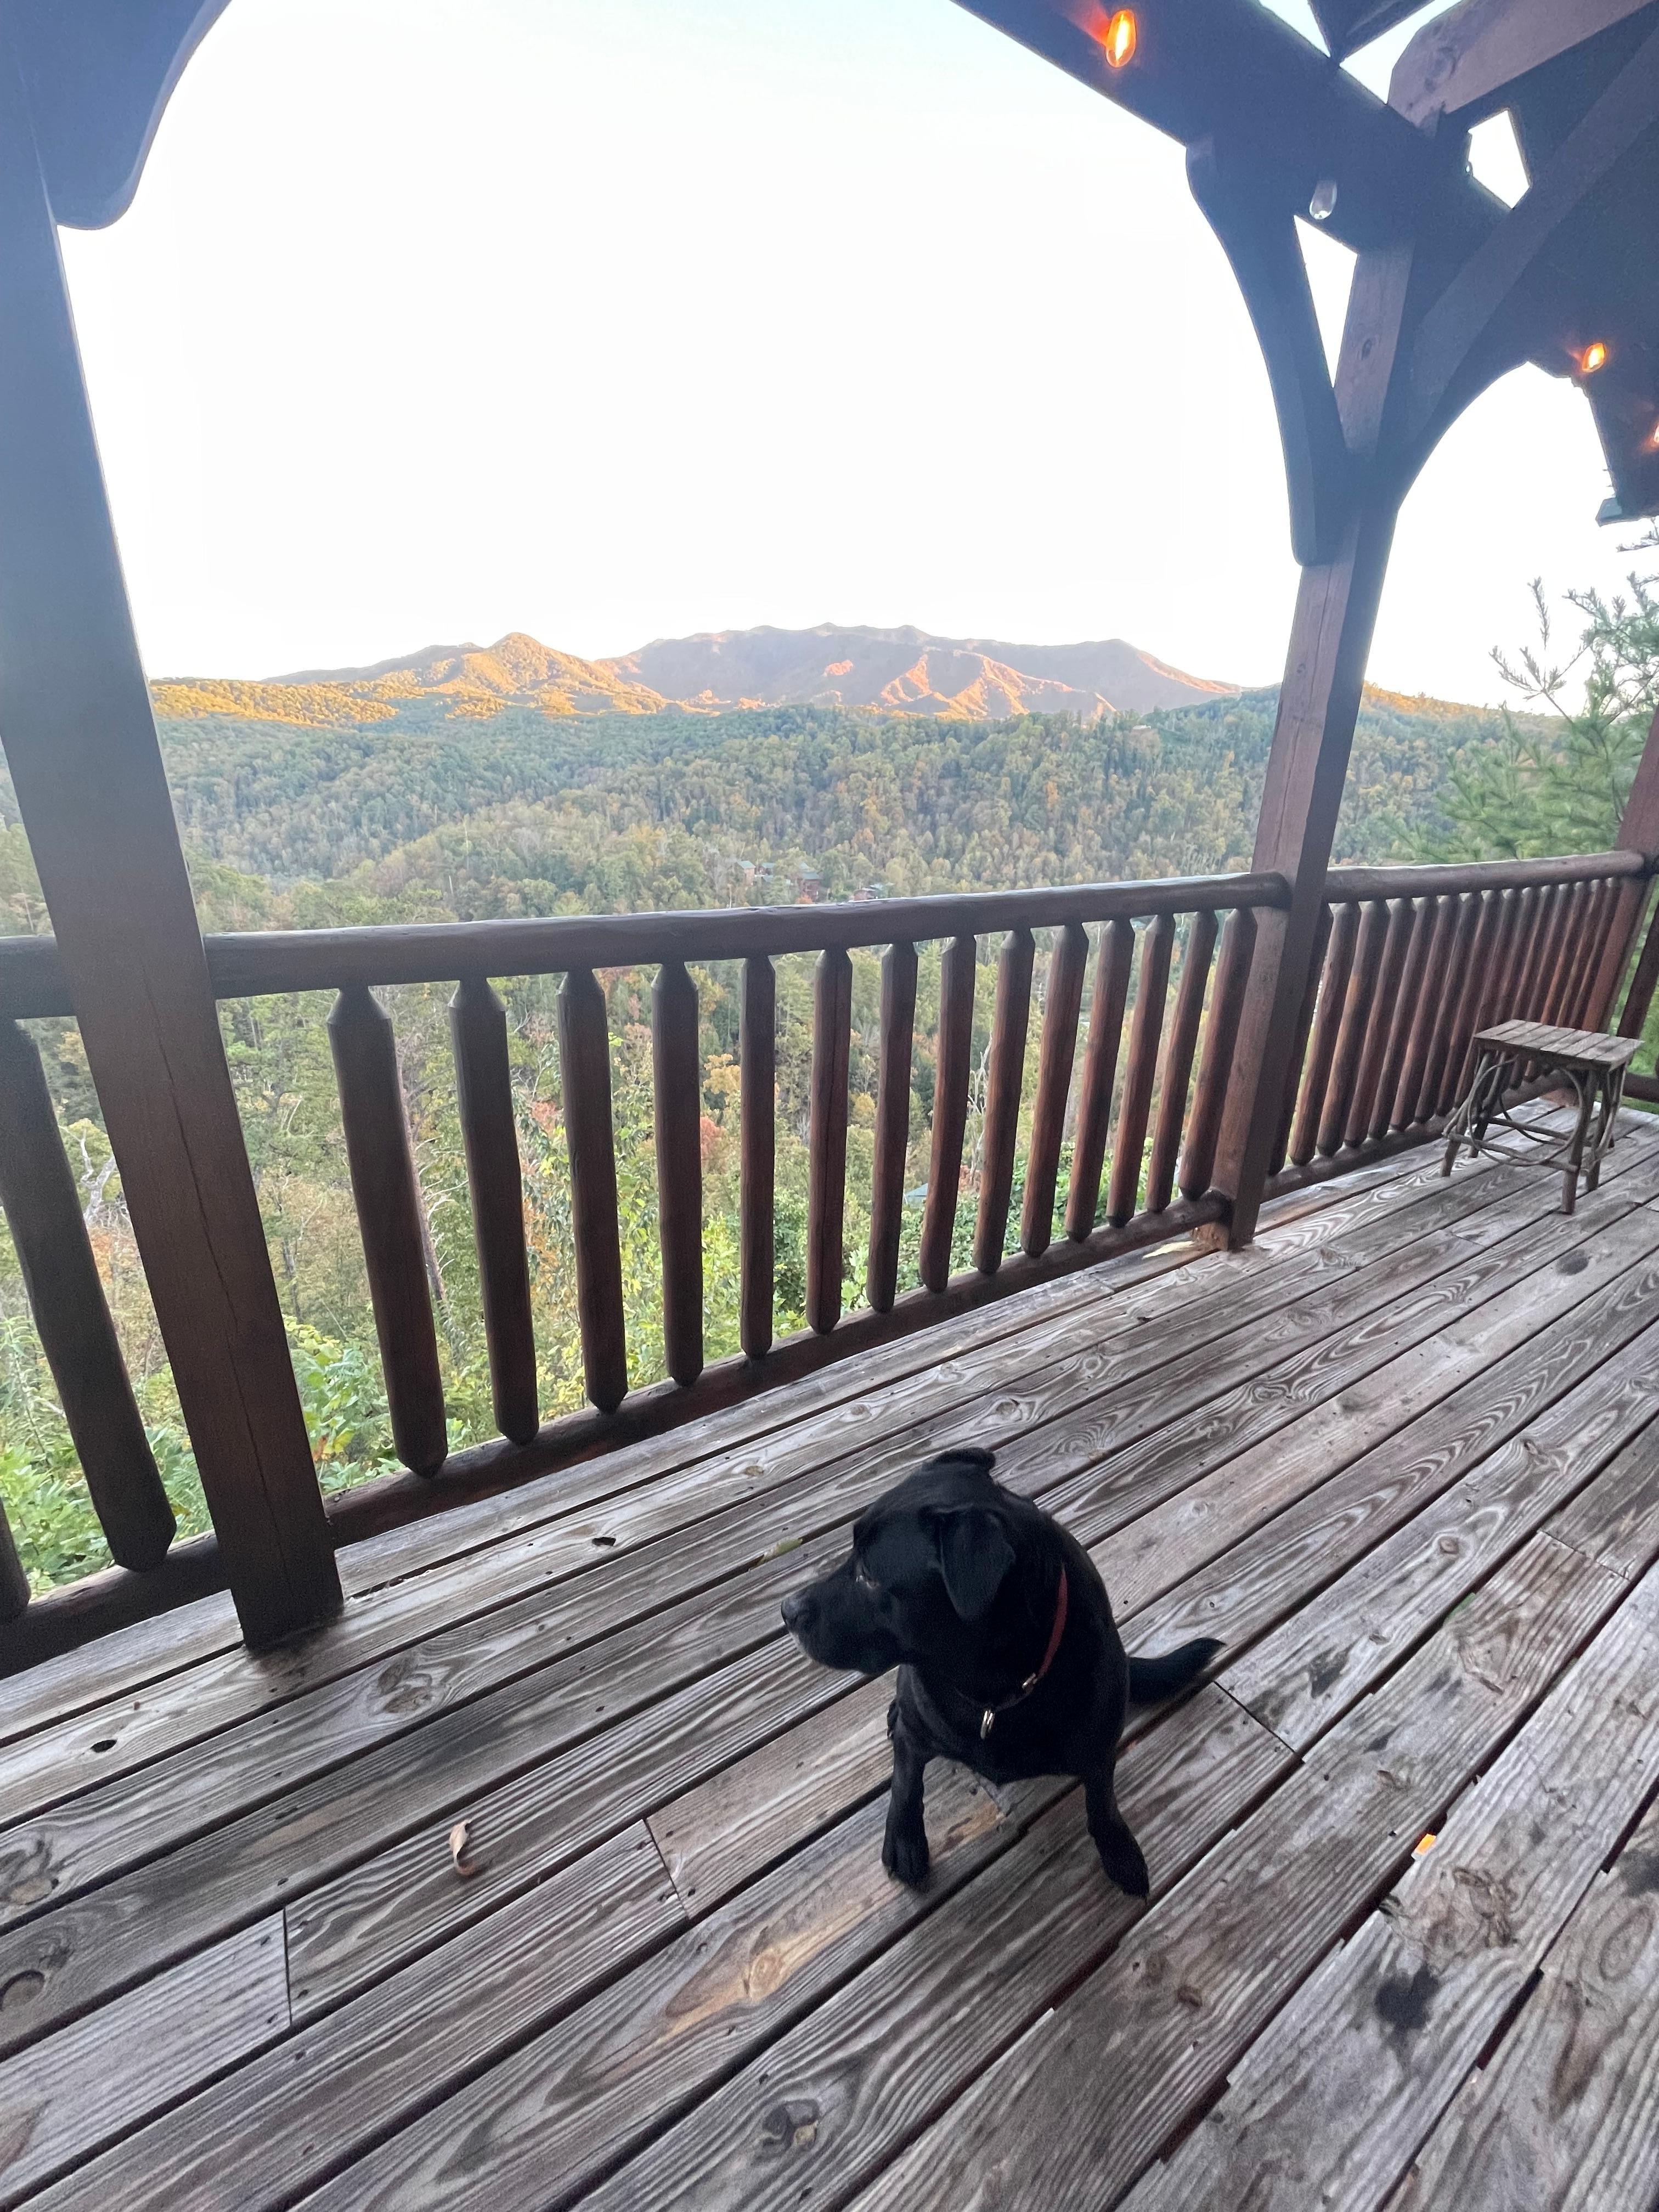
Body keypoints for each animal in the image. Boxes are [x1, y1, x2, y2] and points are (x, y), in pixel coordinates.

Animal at [780, 1446, 1220, 1896]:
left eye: (868, 1576)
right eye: (852, 1556)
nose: (787, 1610)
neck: (991, 1688)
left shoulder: (1099, 1752)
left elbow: (1102, 1804)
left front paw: (1119, 1851)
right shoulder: (915, 1733)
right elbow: (906, 1782)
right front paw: (905, 1840)